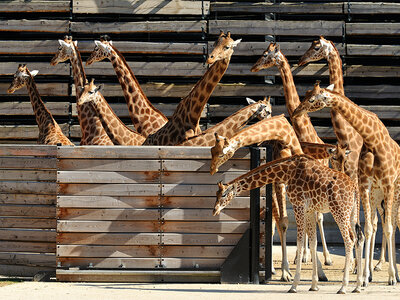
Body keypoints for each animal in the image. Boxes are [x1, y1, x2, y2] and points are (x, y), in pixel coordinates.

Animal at [214, 156, 364, 294]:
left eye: (224, 195)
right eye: (216, 194)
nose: (215, 210)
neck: (287, 172)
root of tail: (355, 188)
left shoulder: (298, 205)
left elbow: (300, 242)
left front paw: (294, 285)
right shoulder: (310, 210)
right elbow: (313, 242)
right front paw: (314, 285)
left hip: (339, 210)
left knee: (349, 240)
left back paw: (343, 287)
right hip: (352, 213)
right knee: (359, 238)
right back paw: (357, 286)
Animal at [252, 42, 332, 268]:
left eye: (265, 54)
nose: (254, 67)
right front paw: (297, 258)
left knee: (318, 216)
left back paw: (323, 257)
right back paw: (301, 256)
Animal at [292, 81, 400, 286]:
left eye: (312, 99)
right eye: (306, 93)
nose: (295, 112)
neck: (373, 140)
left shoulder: (388, 183)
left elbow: (388, 228)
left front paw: (390, 277)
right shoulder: (366, 186)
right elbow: (367, 228)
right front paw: (364, 277)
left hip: (396, 192)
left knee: (393, 223)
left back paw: (394, 274)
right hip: (377, 195)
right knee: (378, 223)